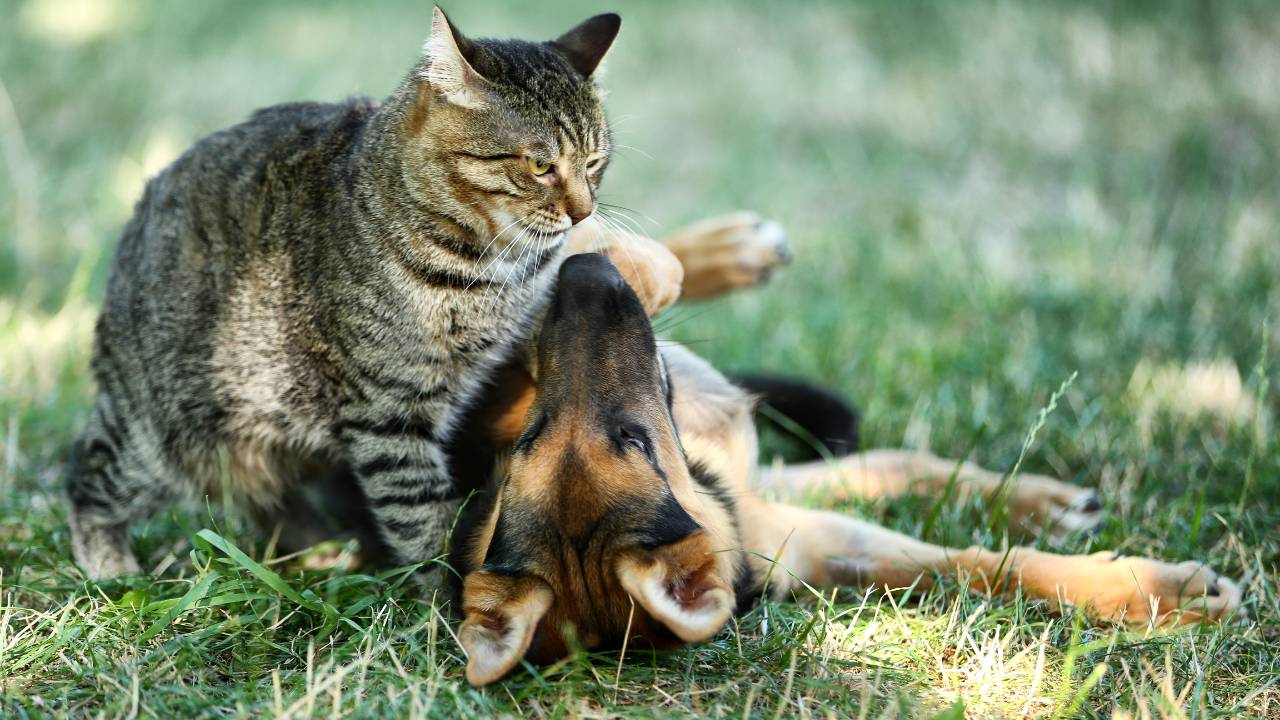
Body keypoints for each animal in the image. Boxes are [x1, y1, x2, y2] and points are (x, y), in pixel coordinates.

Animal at [66, 8, 629, 576]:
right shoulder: (391, 411)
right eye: (540, 165)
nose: (583, 212)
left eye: (594, 162)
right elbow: (418, 513)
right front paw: (442, 592)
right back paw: (110, 566)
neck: (490, 270)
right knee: (87, 476)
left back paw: (323, 554)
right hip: (157, 435)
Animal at [437, 213, 1239, 681]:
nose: (581, 282)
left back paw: (722, 247)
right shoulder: (796, 532)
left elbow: (920, 495)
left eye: (530, 436)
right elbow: (982, 566)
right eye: (629, 441)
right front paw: (1158, 590)